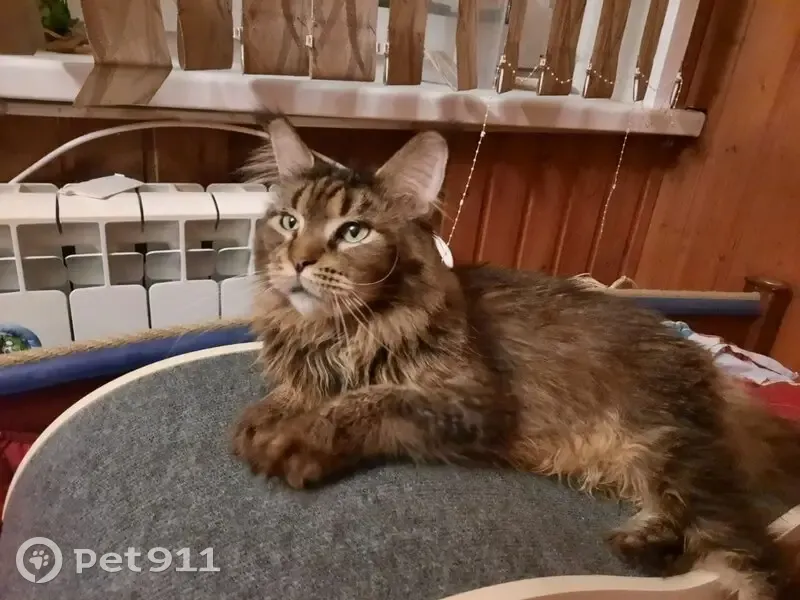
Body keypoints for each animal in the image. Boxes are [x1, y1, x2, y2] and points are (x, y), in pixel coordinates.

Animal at [232, 118, 800, 600]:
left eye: (353, 231)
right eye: (288, 222)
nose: (299, 262)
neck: (337, 332)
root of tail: (710, 370)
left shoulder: (475, 399)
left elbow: (367, 400)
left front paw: (297, 438)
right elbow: (295, 393)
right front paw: (265, 416)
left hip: (680, 456)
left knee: (751, 555)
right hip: (650, 459)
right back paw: (642, 542)